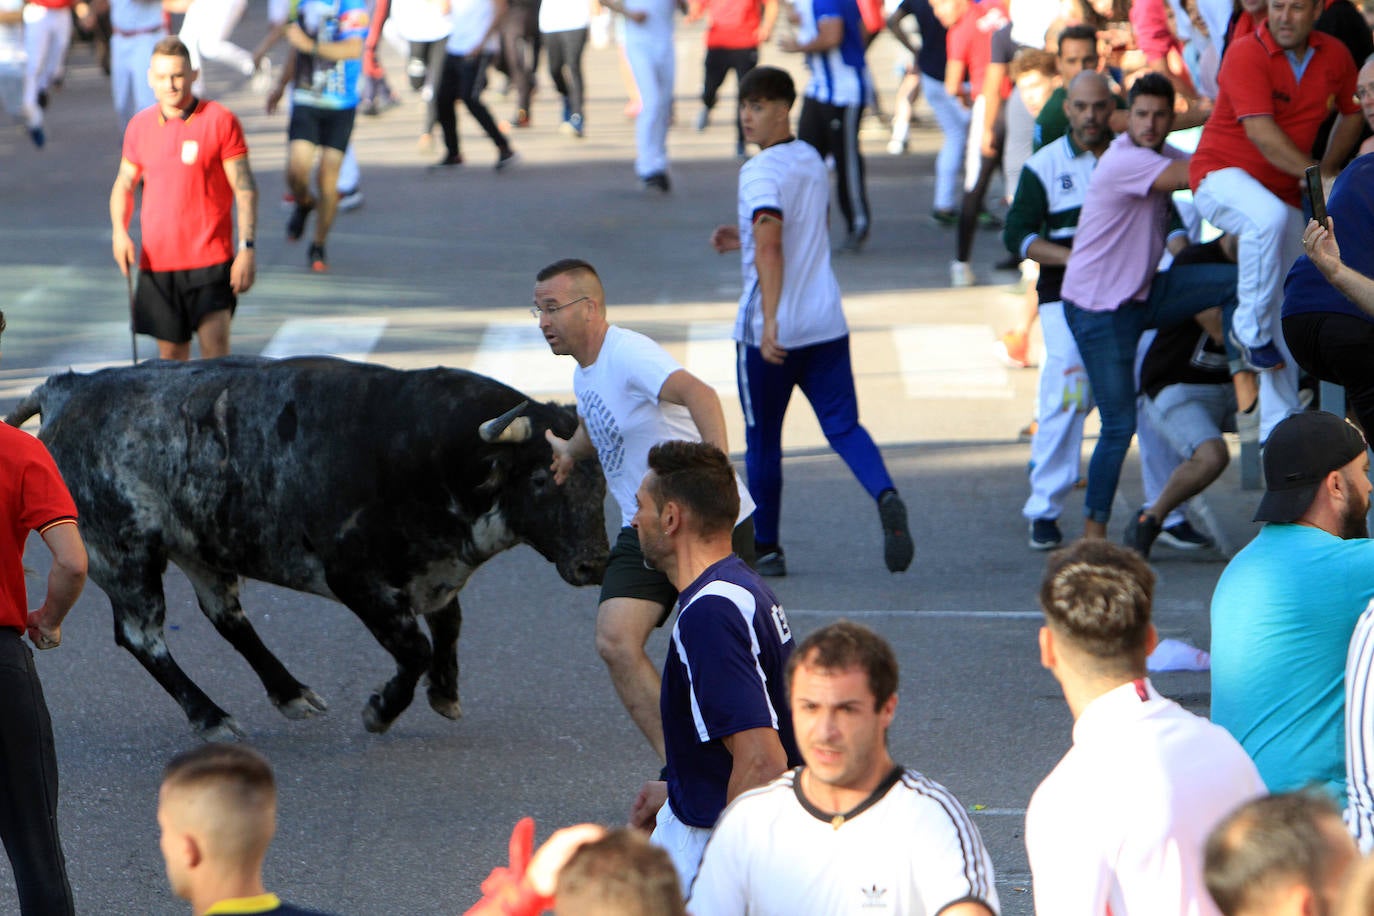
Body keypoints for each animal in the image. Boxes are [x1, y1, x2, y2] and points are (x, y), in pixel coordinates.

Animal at [5, 354, 607, 741]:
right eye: (540, 479)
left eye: (602, 480)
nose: (594, 564)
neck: (437, 458)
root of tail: (66, 388)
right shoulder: (358, 580)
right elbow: (416, 647)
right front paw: (381, 710)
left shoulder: (435, 575)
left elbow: (449, 628)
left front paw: (445, 692)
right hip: (123, 556)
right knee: (142, 635)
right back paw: (210, 717)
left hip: (202, 545)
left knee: (226, 616)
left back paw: (290, 692)